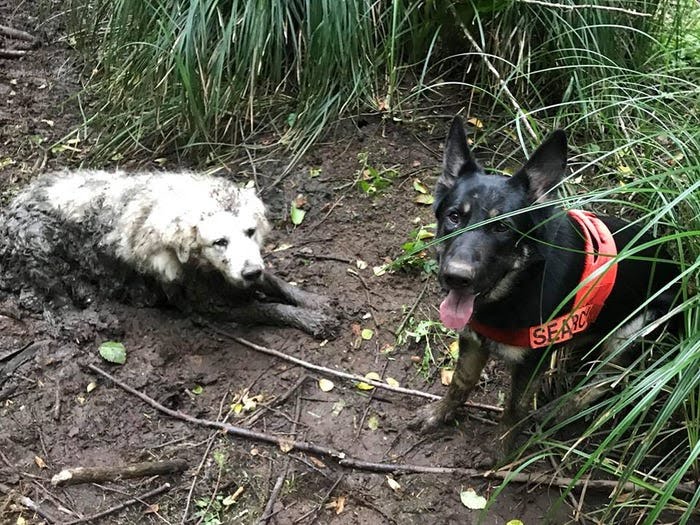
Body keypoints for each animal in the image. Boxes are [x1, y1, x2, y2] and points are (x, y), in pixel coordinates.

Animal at [0, 170, 336, 338]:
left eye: (251, 231)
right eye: (219, 241)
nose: (250, 272)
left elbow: (276, 282)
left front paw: (313, 301)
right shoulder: (207, 305)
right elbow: (268, 309)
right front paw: (310, 318)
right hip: (39, 246)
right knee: (54, 300)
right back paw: (80, 321)